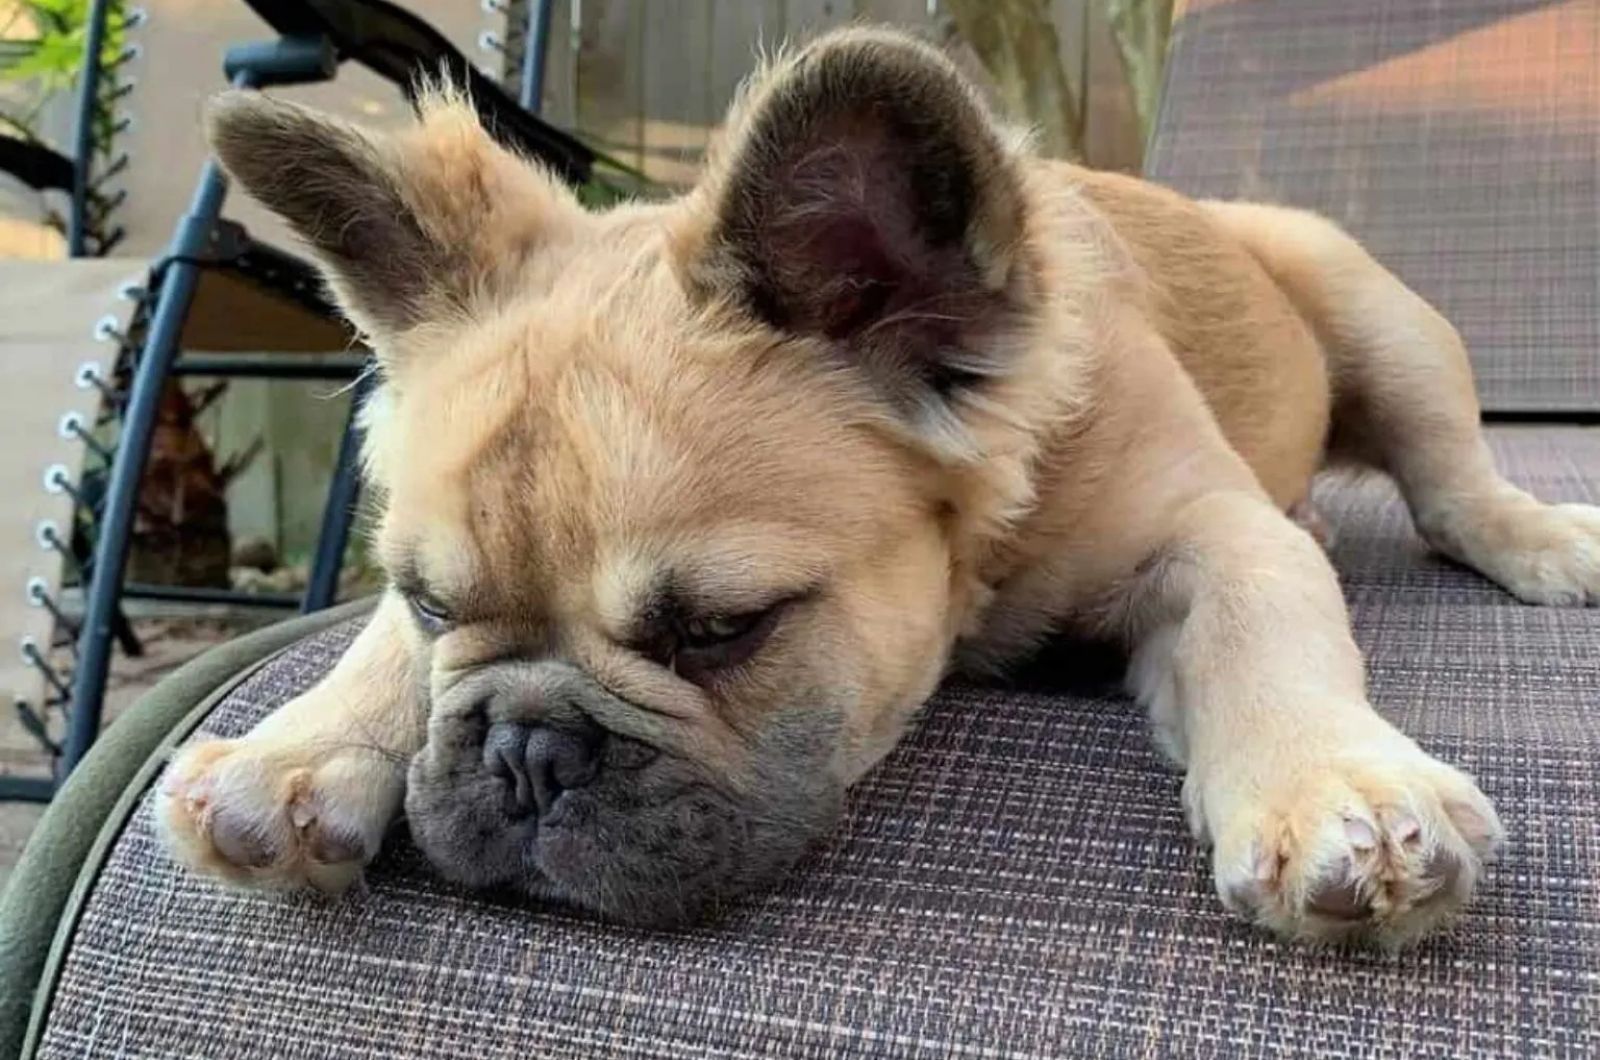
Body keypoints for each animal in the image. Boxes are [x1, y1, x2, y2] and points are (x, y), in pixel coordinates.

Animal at [156, 29, 1600, 947]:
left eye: (720, 631)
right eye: (432, 608)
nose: (526, 753)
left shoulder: (1212, 531)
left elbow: (1266, 621)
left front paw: (1337, 788)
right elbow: (373, 658)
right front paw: (303, 745)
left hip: (1380, 316)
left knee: (1452, 482)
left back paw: (1541, 538)